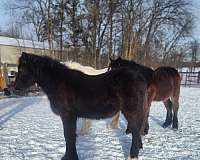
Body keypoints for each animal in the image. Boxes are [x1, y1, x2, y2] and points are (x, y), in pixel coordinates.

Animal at [14, 52, 148, 159]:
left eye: (22, 70)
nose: (15, 88)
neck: (59, 83)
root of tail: (140, 78)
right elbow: (71, 136)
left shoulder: (68, 116)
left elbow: (69, 136)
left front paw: (70, 157)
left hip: (131, 111)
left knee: (136, 131)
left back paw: (133, 156)